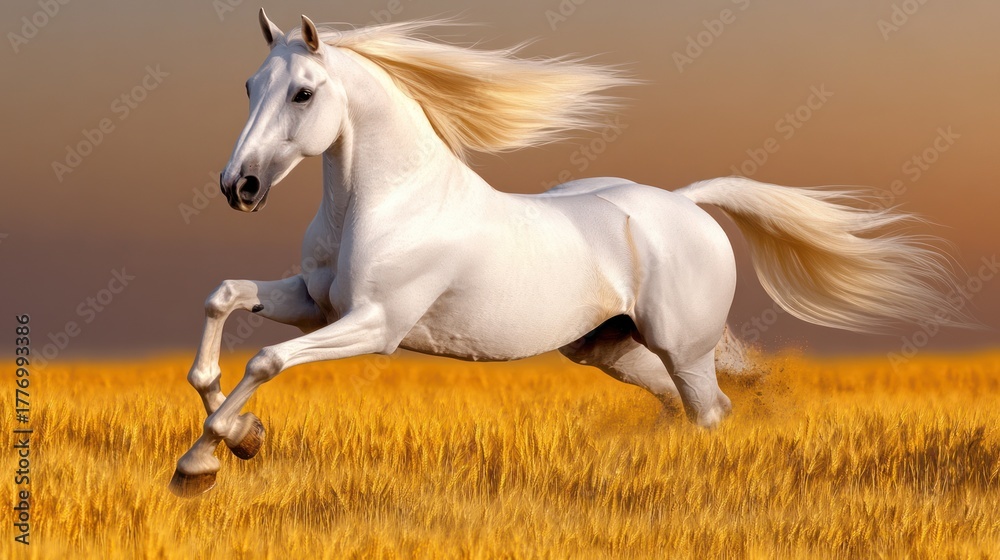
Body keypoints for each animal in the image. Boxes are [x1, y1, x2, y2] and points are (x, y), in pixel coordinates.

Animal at [169, 10, 978, 496]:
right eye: (251, 85)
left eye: (304, 93)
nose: (238, 186)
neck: (388, 200)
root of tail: (687, 203)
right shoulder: (315, 302)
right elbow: (223, 300)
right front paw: (237, 440)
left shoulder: (375, 324)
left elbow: (266, 360)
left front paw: (204, 458)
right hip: (611, 348)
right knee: (688, 403)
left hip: (680, 345)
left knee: (711, 410)